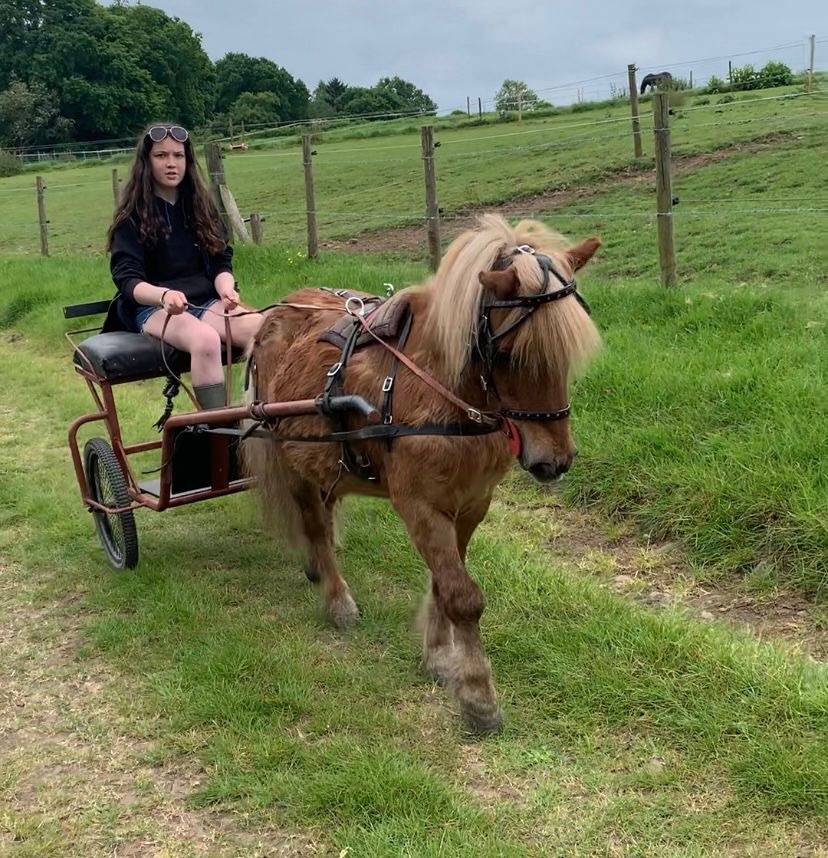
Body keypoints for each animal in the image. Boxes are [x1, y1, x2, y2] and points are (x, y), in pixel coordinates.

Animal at [243, 215, 602, 733]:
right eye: (510, 354)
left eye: (569, 351)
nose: (553, 461)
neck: (438, 387)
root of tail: (274, 317)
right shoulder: (419, 506)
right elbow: (462, 595)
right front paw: (477, 695)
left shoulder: (470, 504)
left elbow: (443, 582)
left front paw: (439, 655)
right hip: (289, 456)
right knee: (312, 522)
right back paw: (337, 598)